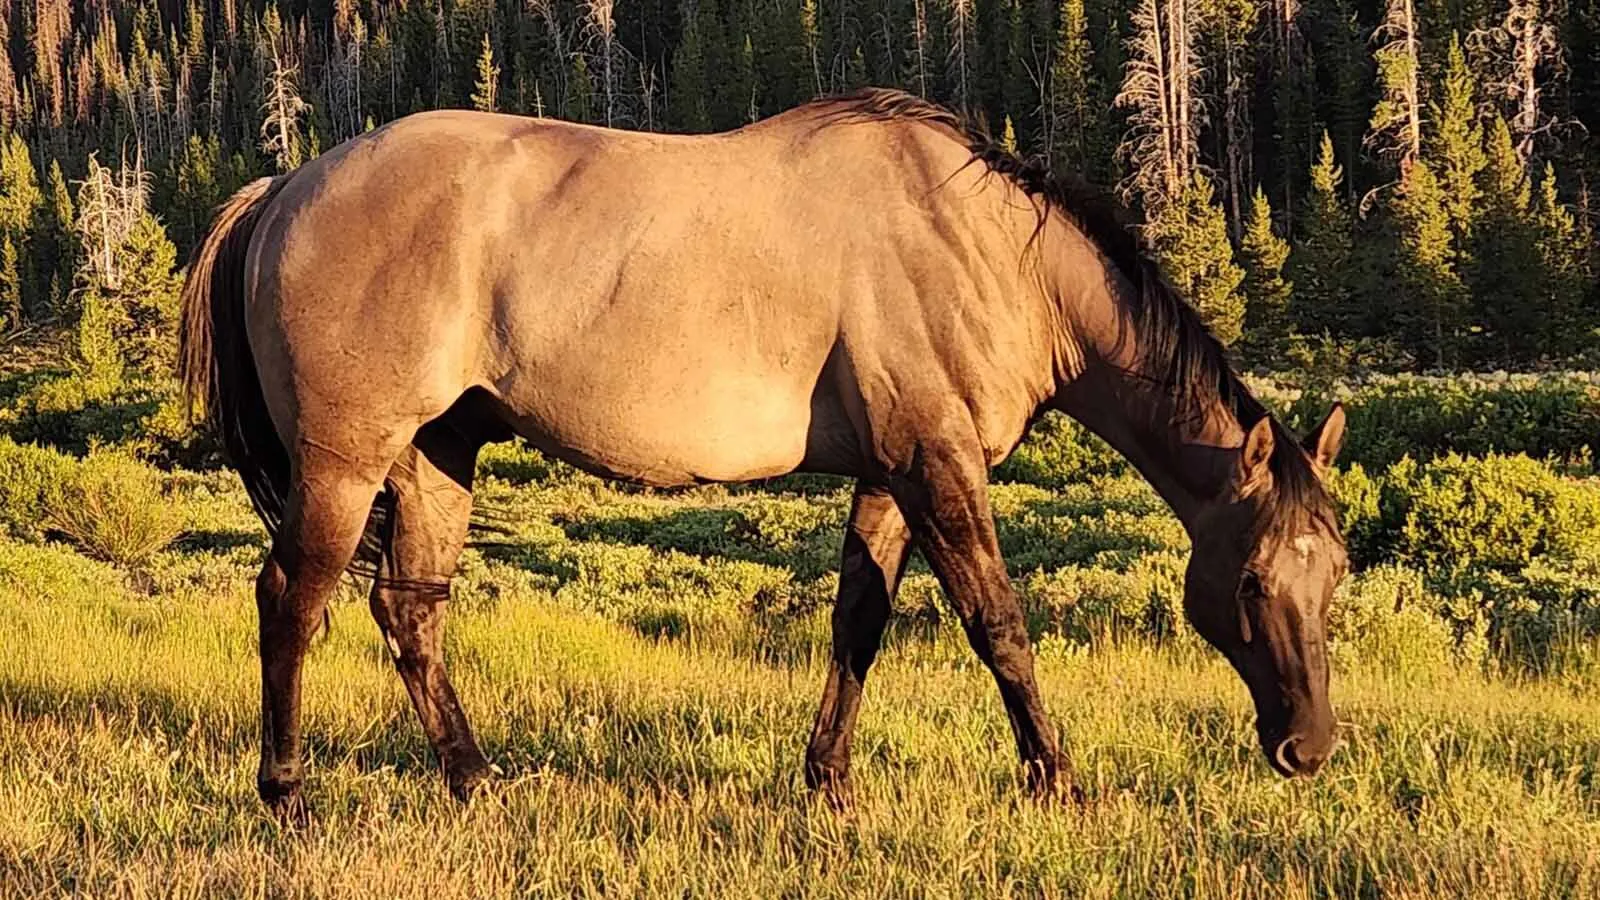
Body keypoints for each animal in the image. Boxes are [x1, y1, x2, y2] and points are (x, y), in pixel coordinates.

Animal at [179, 89, 1348, 819]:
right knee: (292, 598)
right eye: (1252, 580)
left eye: (1333, 575)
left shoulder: (890, 472)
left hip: (437, 454)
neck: (983, 250)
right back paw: (287, 795)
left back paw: (476, 781)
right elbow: (999, 626)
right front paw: (1054, 779)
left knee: (408, 610)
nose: (1310, 749)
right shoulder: (938, 463)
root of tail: (284, 188)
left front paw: (828, 781)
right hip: (348, 458)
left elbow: (858, 624)